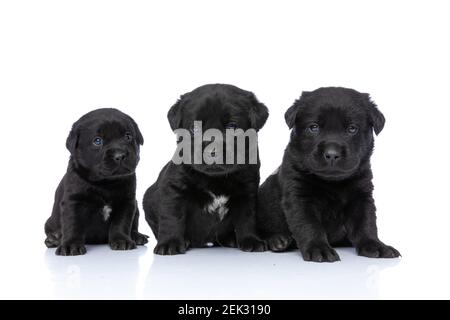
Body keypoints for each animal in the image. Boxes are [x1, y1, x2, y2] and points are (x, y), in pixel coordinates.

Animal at [43, 107, 147, 255]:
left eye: (128, 136)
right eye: (97, 141)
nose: (120, 155)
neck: (105, 183)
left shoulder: (127, 201)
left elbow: (122, 223)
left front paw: (122, 241)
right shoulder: (73, 201)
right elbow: (73, 224)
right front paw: (71, 245)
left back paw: (137, 237)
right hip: (50, 222)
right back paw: (53, 240)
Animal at [144, 83, 268, 255]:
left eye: (232, 127)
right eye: (194, 128)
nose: (212, 151)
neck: (216, 179)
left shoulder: (247, 192)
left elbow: (247, 219)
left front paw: (251, 240)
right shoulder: (174, 189)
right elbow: (172, 217)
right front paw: (170, 243)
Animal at [256, 87, 400, 262]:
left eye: (352, 128)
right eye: (314, 127)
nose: (332, 154)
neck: (333, 183)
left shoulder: (362, 195)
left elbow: (366, 224)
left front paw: (375, 245)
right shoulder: (299, 196)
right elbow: (309, 225)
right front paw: (319, 249)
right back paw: (278, 241)